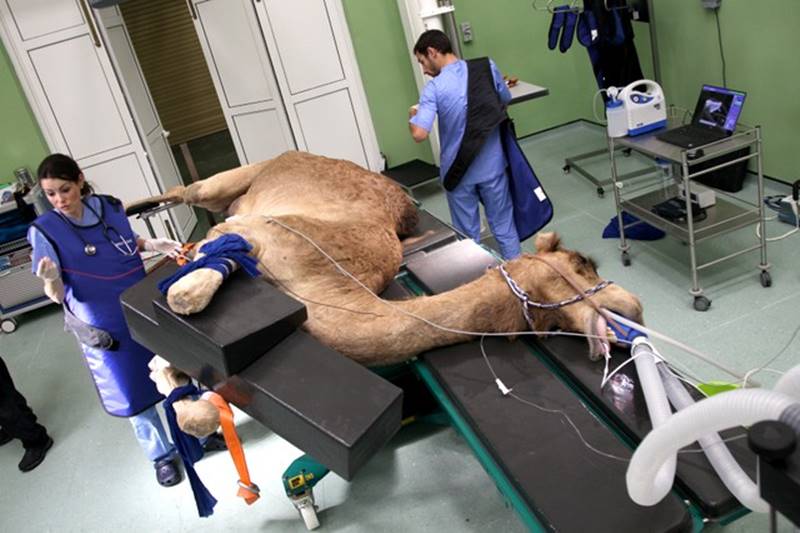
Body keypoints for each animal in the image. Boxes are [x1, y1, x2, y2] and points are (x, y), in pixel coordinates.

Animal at [134, 151, 643, 366]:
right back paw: (138, 209)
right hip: (239, 177)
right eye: (583, 265)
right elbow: (196, 282)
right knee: (189, 189)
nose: (635, 307)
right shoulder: (257, 232)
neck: (325, 286)